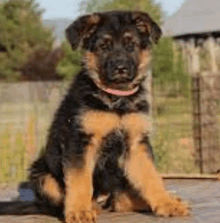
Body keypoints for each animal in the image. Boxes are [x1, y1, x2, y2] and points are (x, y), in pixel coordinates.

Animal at [0, 10, 189, 223]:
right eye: (103, 46)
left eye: (130, 44)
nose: (121, 68)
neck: (116, 98)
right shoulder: (80, 142)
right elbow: (80, 180)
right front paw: (79, 211)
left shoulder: (136, 144)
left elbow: (152, 177)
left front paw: (166, 203)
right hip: (41, 174)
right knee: (59, 203)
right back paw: (86, 206)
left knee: (121, 201)